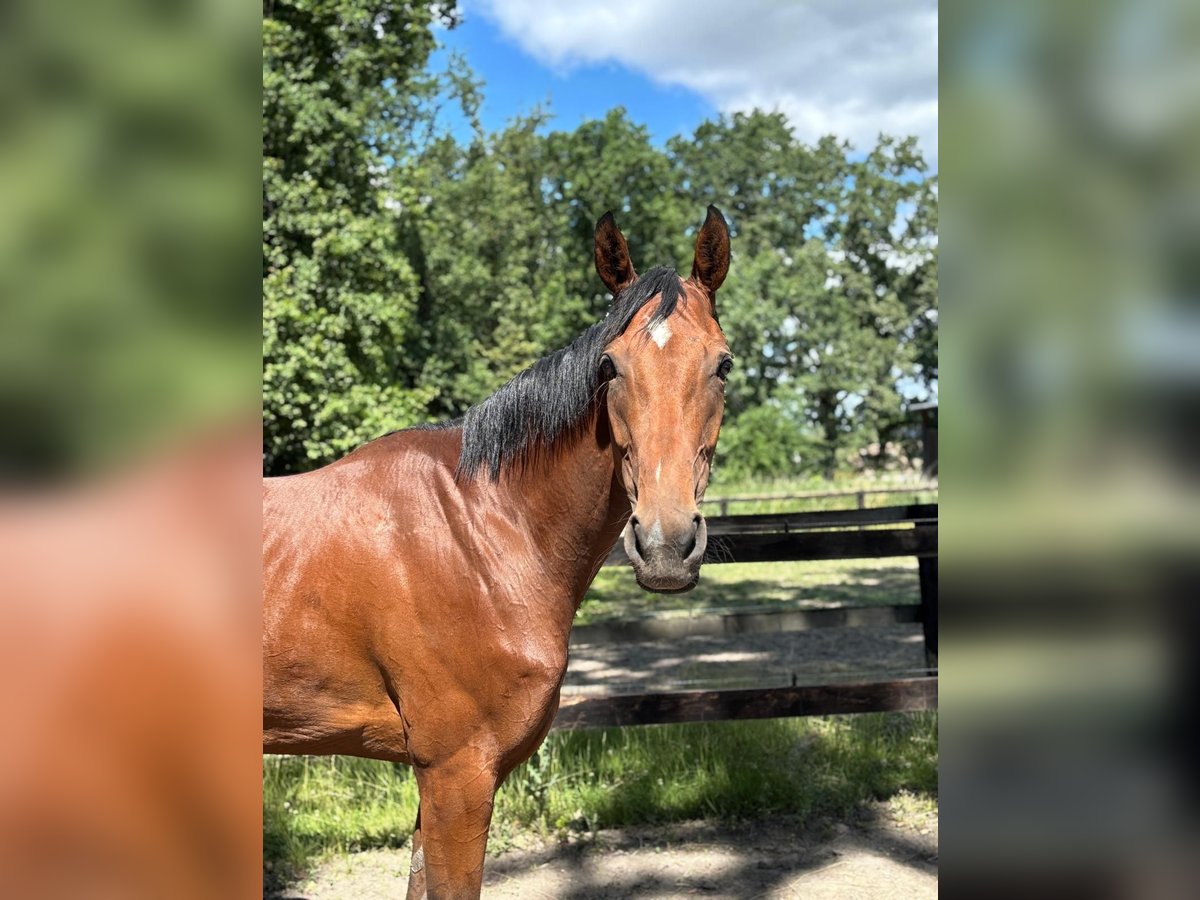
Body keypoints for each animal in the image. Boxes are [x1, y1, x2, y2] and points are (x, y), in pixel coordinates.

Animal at [263, 206, 733, 899]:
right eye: (610, 366)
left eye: (722, 365)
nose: (666, 544)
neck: (482, 529)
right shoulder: (457, 774)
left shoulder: (438, 785)